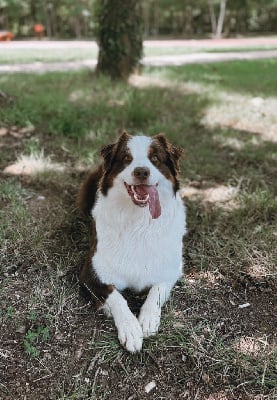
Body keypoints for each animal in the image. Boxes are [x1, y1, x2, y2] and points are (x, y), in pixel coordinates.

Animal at [77, 131, 185, 350]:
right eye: (127, 158)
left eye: (155, 158)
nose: (141, 172)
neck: (138, 222)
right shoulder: (91, 273)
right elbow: (117, 297)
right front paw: (131, 329)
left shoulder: (171, 269)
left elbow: (156, 291)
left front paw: (148, 319)